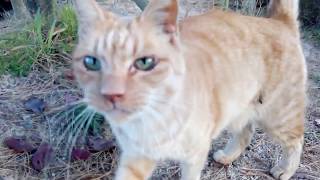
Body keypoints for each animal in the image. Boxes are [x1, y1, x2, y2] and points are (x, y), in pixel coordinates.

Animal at [72, 0, 304, 179]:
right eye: (91, 62)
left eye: (145, 62)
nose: (111, 94)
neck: (152, 118)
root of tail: (277, 20)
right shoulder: (137, 157)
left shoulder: (195, 155)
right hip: (237, 108)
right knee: (245, 133)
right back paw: (227, 156)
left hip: (279, 116)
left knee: (295, 140)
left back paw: (285, 170)